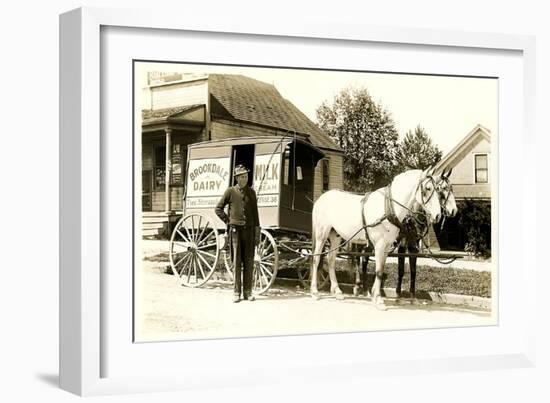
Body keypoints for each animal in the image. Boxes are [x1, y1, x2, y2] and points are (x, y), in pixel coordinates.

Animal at [310, 169, 444, 310]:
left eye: (438, 190)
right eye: (428, 189)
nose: (438, 215)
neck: (389, 207)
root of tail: (321, 198)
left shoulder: (386, 247)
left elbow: (381, 269)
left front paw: (375, 295)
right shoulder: (380, 245)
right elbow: (379, 271)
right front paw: (379, 300)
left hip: (335, 236)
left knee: (331, 260)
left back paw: (337, 291)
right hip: (321, 235)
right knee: (316, 259)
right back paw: (314, 292)